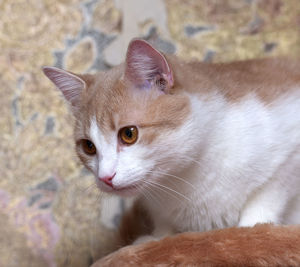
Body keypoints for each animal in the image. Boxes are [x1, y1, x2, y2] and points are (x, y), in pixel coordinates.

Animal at [42, 38, 300, 246]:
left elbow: (268, 194)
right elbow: (163, 224)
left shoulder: (290, 149)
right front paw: (157, 238)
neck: (183, 180)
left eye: (128, 134)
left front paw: (251, 229)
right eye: (88, 147)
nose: (105, 177)